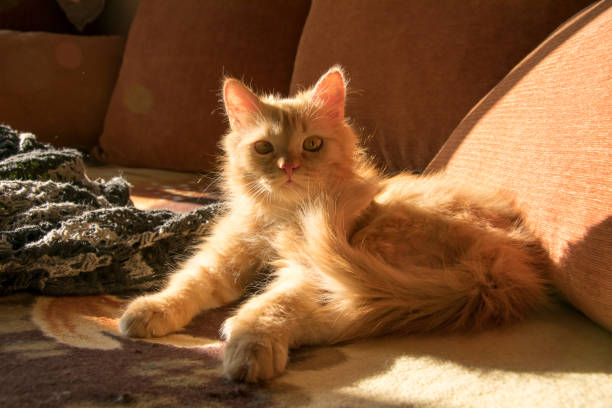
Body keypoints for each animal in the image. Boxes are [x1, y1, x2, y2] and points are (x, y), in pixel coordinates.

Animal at [118, 67, 548, 382]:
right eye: (263, 148)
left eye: (312, 145)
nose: (288, 167)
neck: (282, 218)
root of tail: (502, 265)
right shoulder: (222, 258)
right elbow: (186, 284)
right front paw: (149, 310)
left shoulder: (307, 269)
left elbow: (274, 304)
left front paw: (250, 345)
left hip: (375, 251)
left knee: (345, 316)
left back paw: (241, 329)